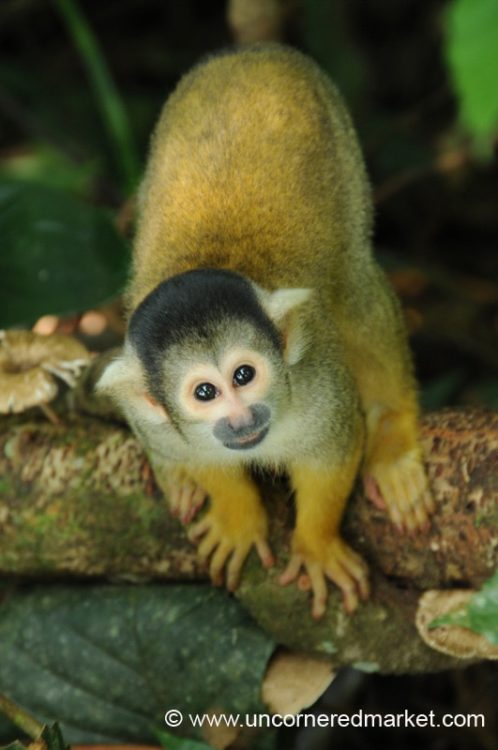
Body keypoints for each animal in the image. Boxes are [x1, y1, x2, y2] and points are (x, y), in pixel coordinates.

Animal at [98, 43, 434, 618]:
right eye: (204, 393)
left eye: (244, 375)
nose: (241, 418)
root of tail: (249, 51)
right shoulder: (157, 422)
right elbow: (199, 458)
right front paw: (236, 516)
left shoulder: (316, 381)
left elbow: (331, 451)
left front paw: (316, 545)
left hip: (342, 149)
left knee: (354, 287)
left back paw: (393, 437)